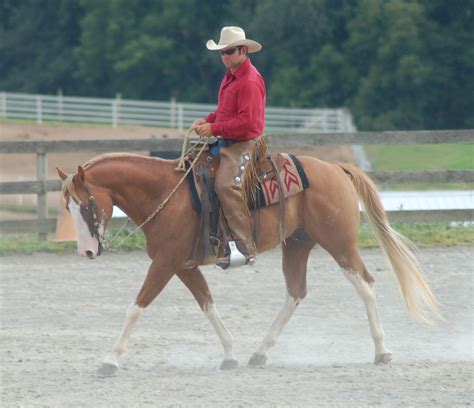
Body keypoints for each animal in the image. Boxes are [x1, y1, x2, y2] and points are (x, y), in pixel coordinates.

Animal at [57, 151, 438, 374]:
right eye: (67, 207)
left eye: (86, 205)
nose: (87, 252)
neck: (167, 195)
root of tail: (335, 168)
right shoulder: (183, 266)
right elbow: (207, 305)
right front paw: (229, 354)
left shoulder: (165, 264)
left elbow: (136, 307)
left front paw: (110, 359)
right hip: (298, 244)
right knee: (296, 292)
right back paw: (260, 352)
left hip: (340, 244)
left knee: (366, 285)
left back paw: (381, 351)